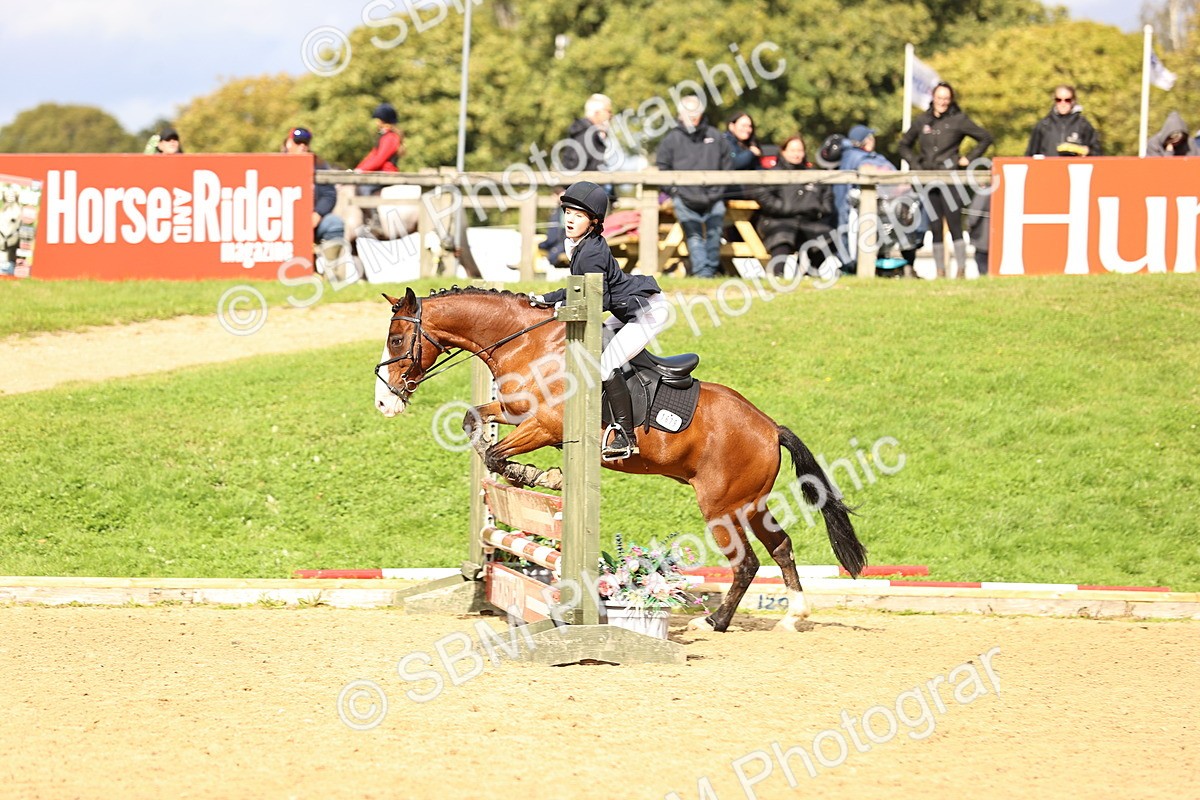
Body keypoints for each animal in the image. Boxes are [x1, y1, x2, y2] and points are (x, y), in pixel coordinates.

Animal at [374, 286, 867, 633]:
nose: (385, 402)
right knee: (780, 546)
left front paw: (539, 475)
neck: (529, 346)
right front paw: (520, 471)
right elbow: (473, 421)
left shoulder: (547, 426)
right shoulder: (514, 412)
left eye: (397, 340)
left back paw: (714, 622)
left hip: (721, 505)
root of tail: (769, 427)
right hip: (750, 503)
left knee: (746, 562)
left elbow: (498, 453)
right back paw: (792, 616)